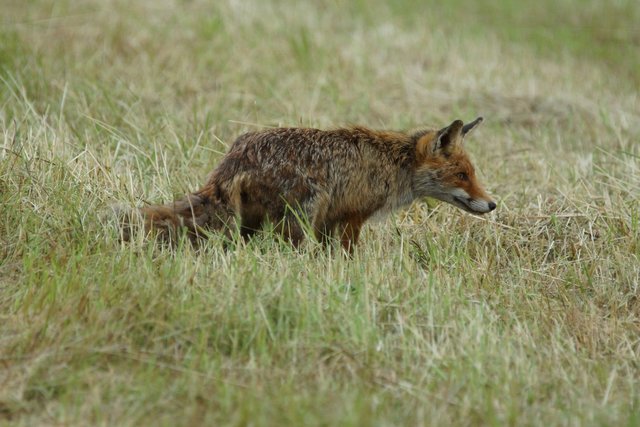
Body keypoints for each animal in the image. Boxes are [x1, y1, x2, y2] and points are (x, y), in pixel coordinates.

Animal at [118, 117, 496, 253]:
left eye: (472, 173)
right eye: (462, 175)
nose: (492, 204)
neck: (392, 163)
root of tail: (237, 155)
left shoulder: (330, 221)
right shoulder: (350, 217)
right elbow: (348, 254)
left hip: (253, 222)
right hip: (301, 215)